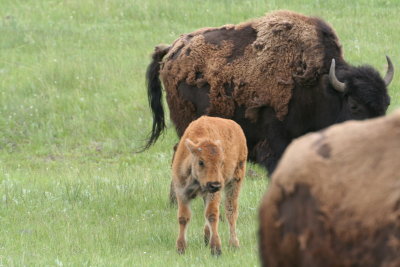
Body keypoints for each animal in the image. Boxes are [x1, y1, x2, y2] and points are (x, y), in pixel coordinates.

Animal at [172, 116, 247, 256]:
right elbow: (183, 217)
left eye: (221, 162)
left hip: (235, 181)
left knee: (231, 212)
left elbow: (212, 215)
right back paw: (206, 238)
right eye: (201, 162)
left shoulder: (214, 193)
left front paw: (216, 249)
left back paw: (234, 244)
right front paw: (181, 248)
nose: (215, 184)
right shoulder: (181, 192)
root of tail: (236, 126)